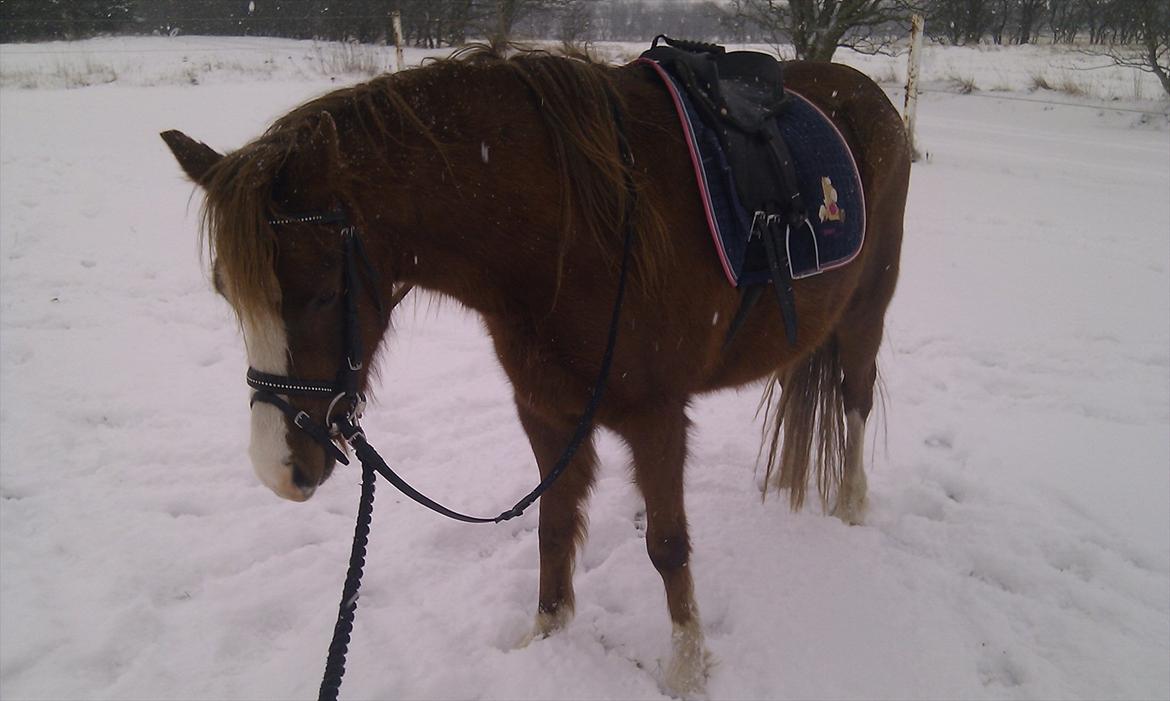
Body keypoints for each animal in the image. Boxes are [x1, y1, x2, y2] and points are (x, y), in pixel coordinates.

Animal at [162, 46, 909, 695]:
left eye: (321, 292)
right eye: (227, 294)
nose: (278, 469)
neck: (577, 231)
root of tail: (865, 93)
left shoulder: (657, 417)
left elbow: (668, 546)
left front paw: (687, 669)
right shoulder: (547, 411)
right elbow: (554, 526)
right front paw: (546, 636)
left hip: (865, 313)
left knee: (854, 400)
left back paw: (851, 501)